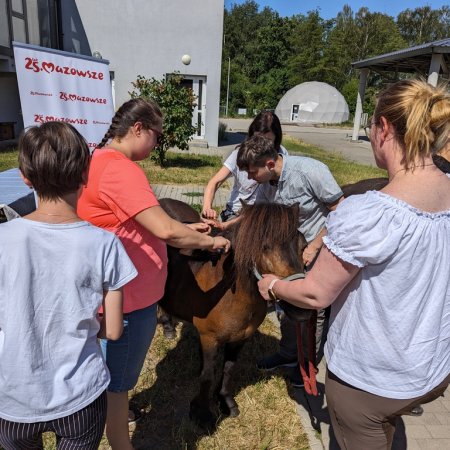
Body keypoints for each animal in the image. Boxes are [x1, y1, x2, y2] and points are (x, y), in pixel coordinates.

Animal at [158, 199, 310, 428]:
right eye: (264, 246)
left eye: (303, 246)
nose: (300, 307)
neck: (229, 295)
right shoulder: (210, 338)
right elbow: (208, 375)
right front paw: (202, 414)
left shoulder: (239, 338)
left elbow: (228, 369)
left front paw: (226, 402)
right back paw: (167, 327)